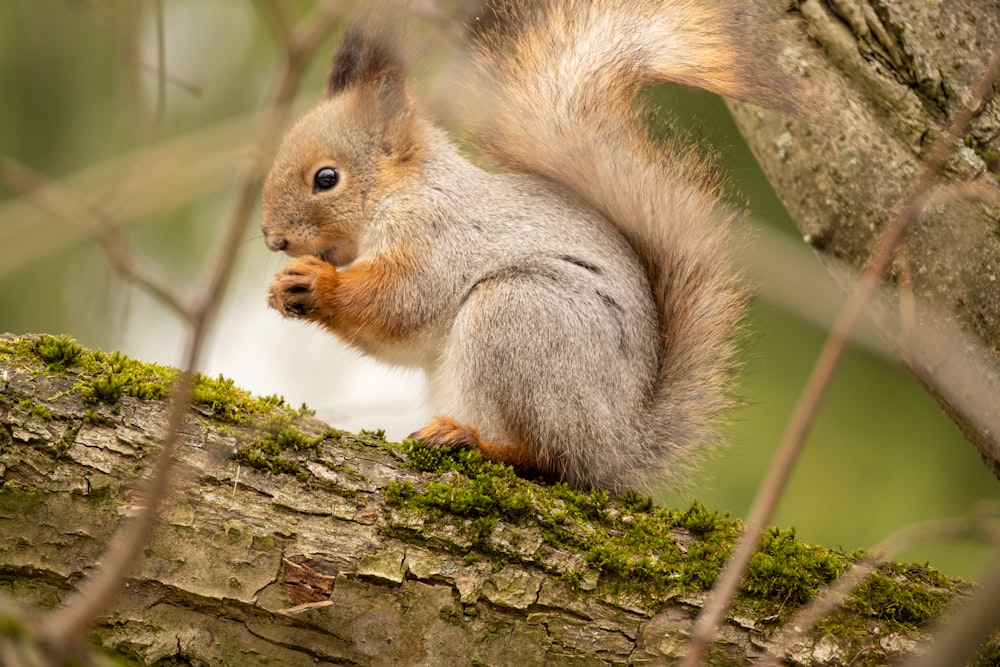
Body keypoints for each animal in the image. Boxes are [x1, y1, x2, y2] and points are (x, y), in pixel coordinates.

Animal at [262, 0, 800, 490]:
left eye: (326, 178)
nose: (273, 239)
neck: (400, 189)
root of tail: (619, 446)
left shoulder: (437, 235)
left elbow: (404, 301)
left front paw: (318, 282)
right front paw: (283, 288)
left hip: (518, 319)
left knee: (548, 458)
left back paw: (474, 441)